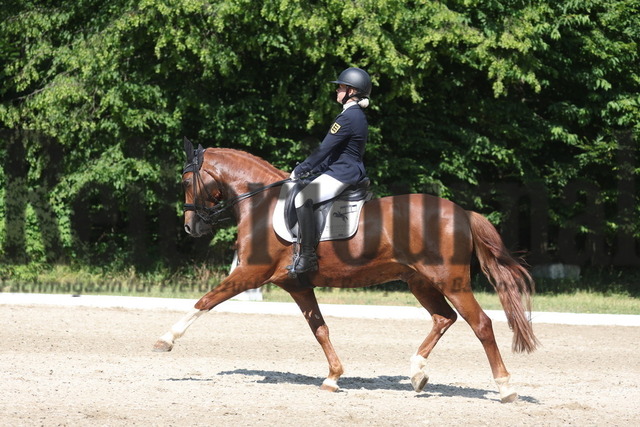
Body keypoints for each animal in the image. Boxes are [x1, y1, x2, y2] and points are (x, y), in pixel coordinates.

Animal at [155, 142, 540, 402]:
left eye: (186, 181)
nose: (191, 227)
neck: (262, 203)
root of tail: (462, 213)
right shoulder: (296, 285)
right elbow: (320, 329)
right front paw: (333, 377)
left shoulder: (251, 273)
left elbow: (205, 301)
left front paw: (166, 339)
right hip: (420, 281)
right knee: (444, 318)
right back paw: (417, 374)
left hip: (452, 281)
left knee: (481, 324)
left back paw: (505, 388)